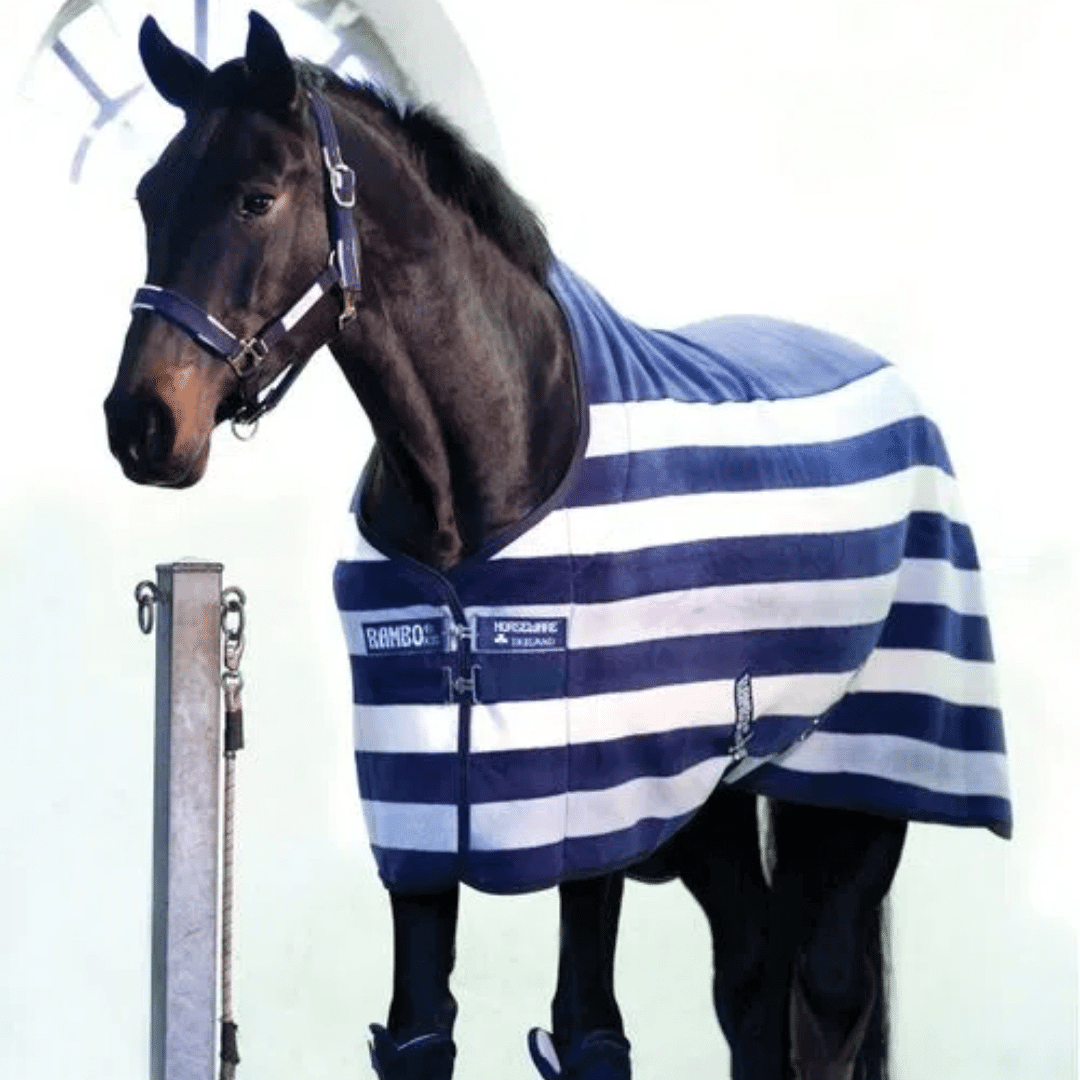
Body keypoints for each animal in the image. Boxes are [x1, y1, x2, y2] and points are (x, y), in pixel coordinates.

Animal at [104, 14, 1011, 1080]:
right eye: (149, 194)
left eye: (256, 198)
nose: (142, 425)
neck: (486, 476)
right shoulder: (422, 812)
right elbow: (421, 1031)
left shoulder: (597, 808)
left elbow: (589, 1036)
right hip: (714, 810)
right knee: (753, 985)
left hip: (862, 785)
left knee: (825, 998)